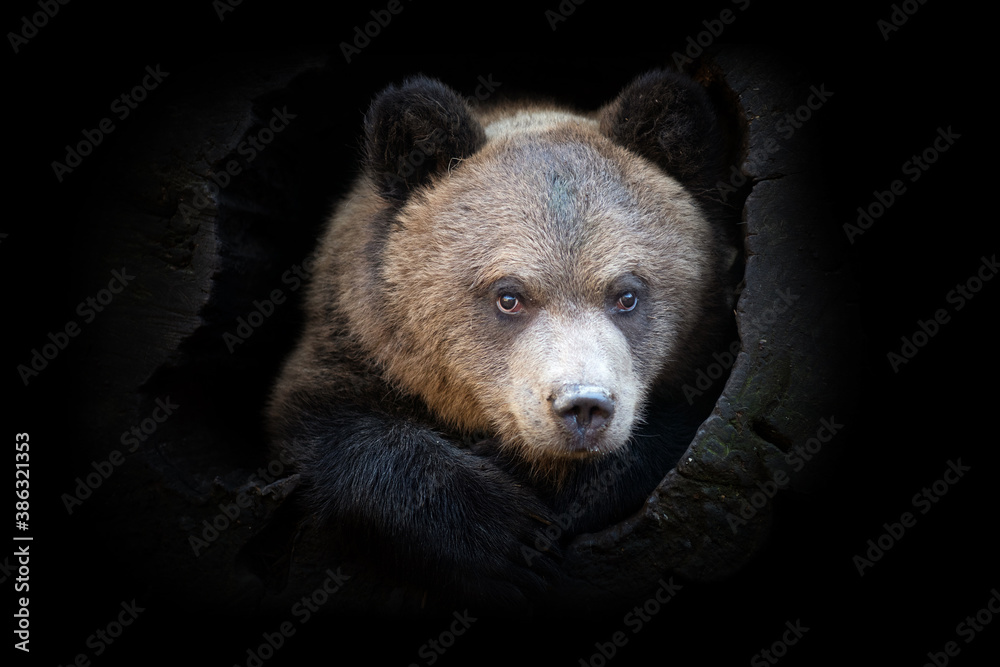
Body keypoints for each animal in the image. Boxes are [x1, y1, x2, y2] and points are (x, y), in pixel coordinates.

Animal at [265, 69, 741, 609]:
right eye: (509, 296)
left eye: (627, 294)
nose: (582, 406)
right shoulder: (351, 341)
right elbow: (331, 423)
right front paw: (505, 537)